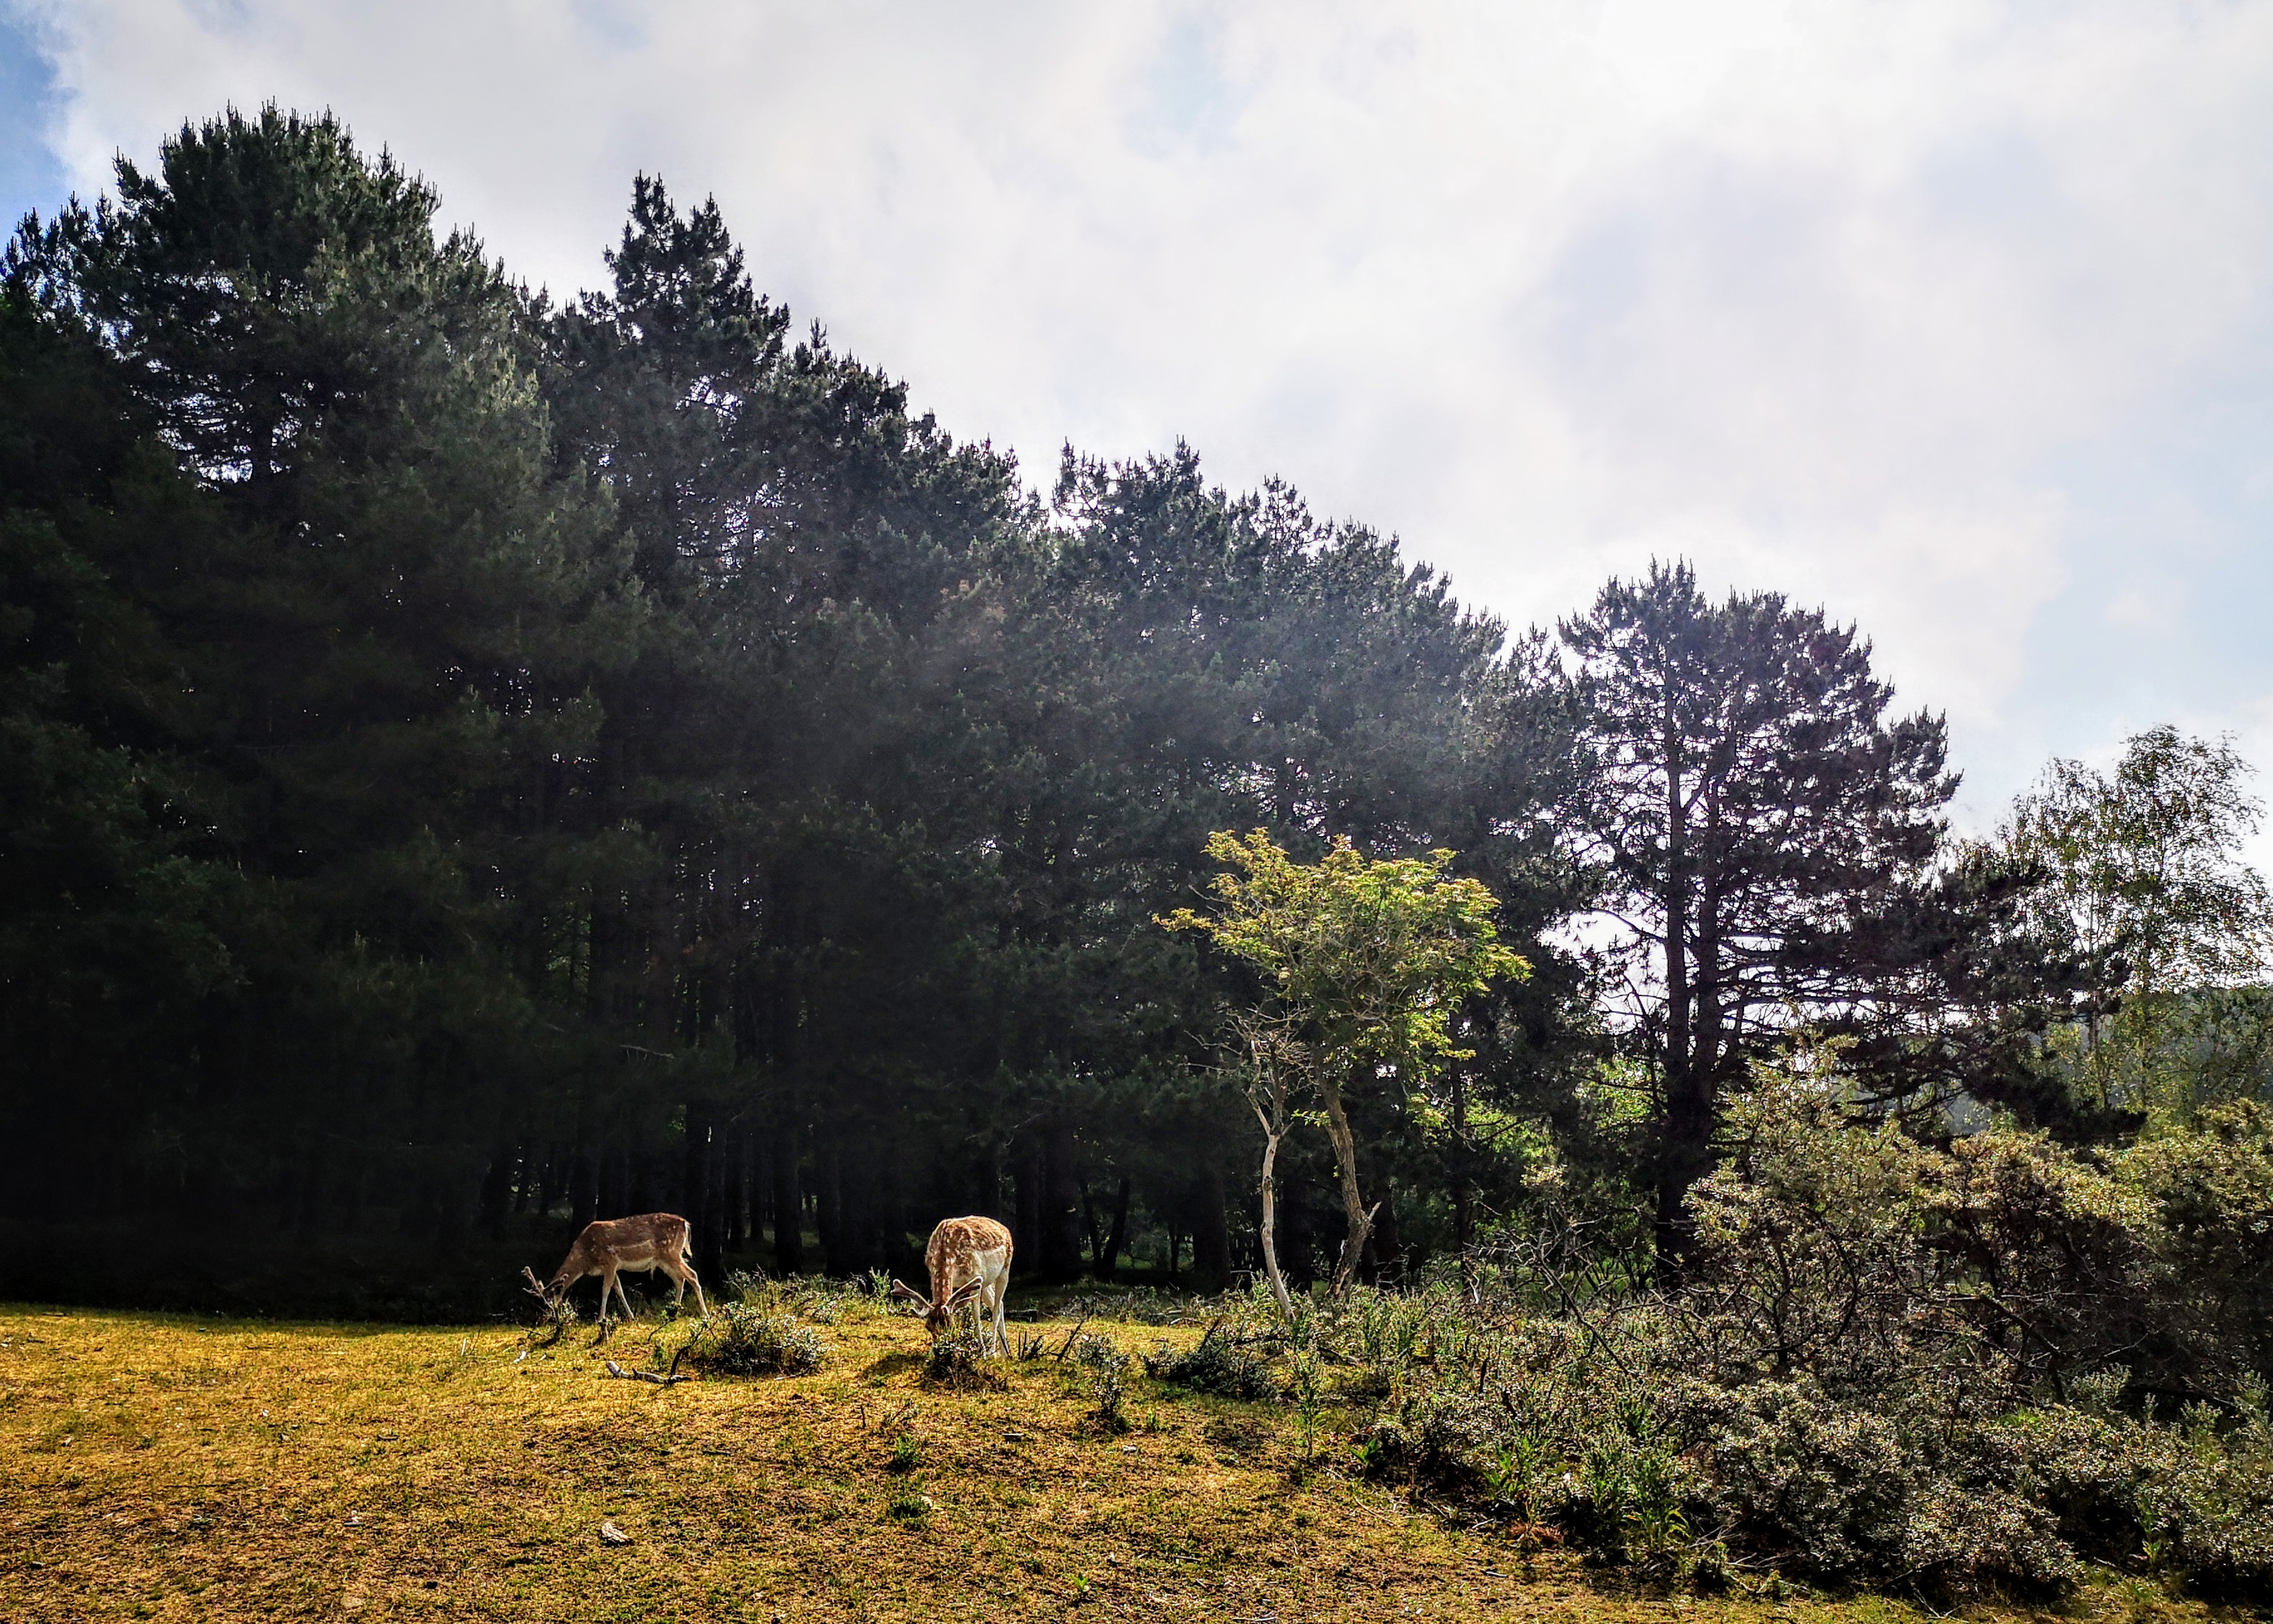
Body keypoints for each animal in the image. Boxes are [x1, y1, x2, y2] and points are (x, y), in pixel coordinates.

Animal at [523, 1210, 709, 1319]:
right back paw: (674, 1312)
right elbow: (619, 1290)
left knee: (692, 1275)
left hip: (671, 1253)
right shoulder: (612, 1268)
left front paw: (600, 1318)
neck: (585, 1259)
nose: (545, 1318)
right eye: (538, 1302)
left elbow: (605, 1290)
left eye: (549, 1300)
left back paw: (704, 1314)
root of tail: (685, 1224)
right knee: (680, 1279)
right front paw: (631, 1316)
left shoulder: (610, 1261)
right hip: (664, 1260)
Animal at [890, 1210, 1018, 1346]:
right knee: (998, 1304)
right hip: (987, 1282)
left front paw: (982, 1350)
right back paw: (1005, 1351)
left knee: (996, 1309)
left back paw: (992, 1350)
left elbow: (976, 1316)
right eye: (928, 1327)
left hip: (1005, 1270)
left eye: (951, 1326)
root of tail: (1006, 1230)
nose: (938, 1349)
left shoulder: (975, 1276)